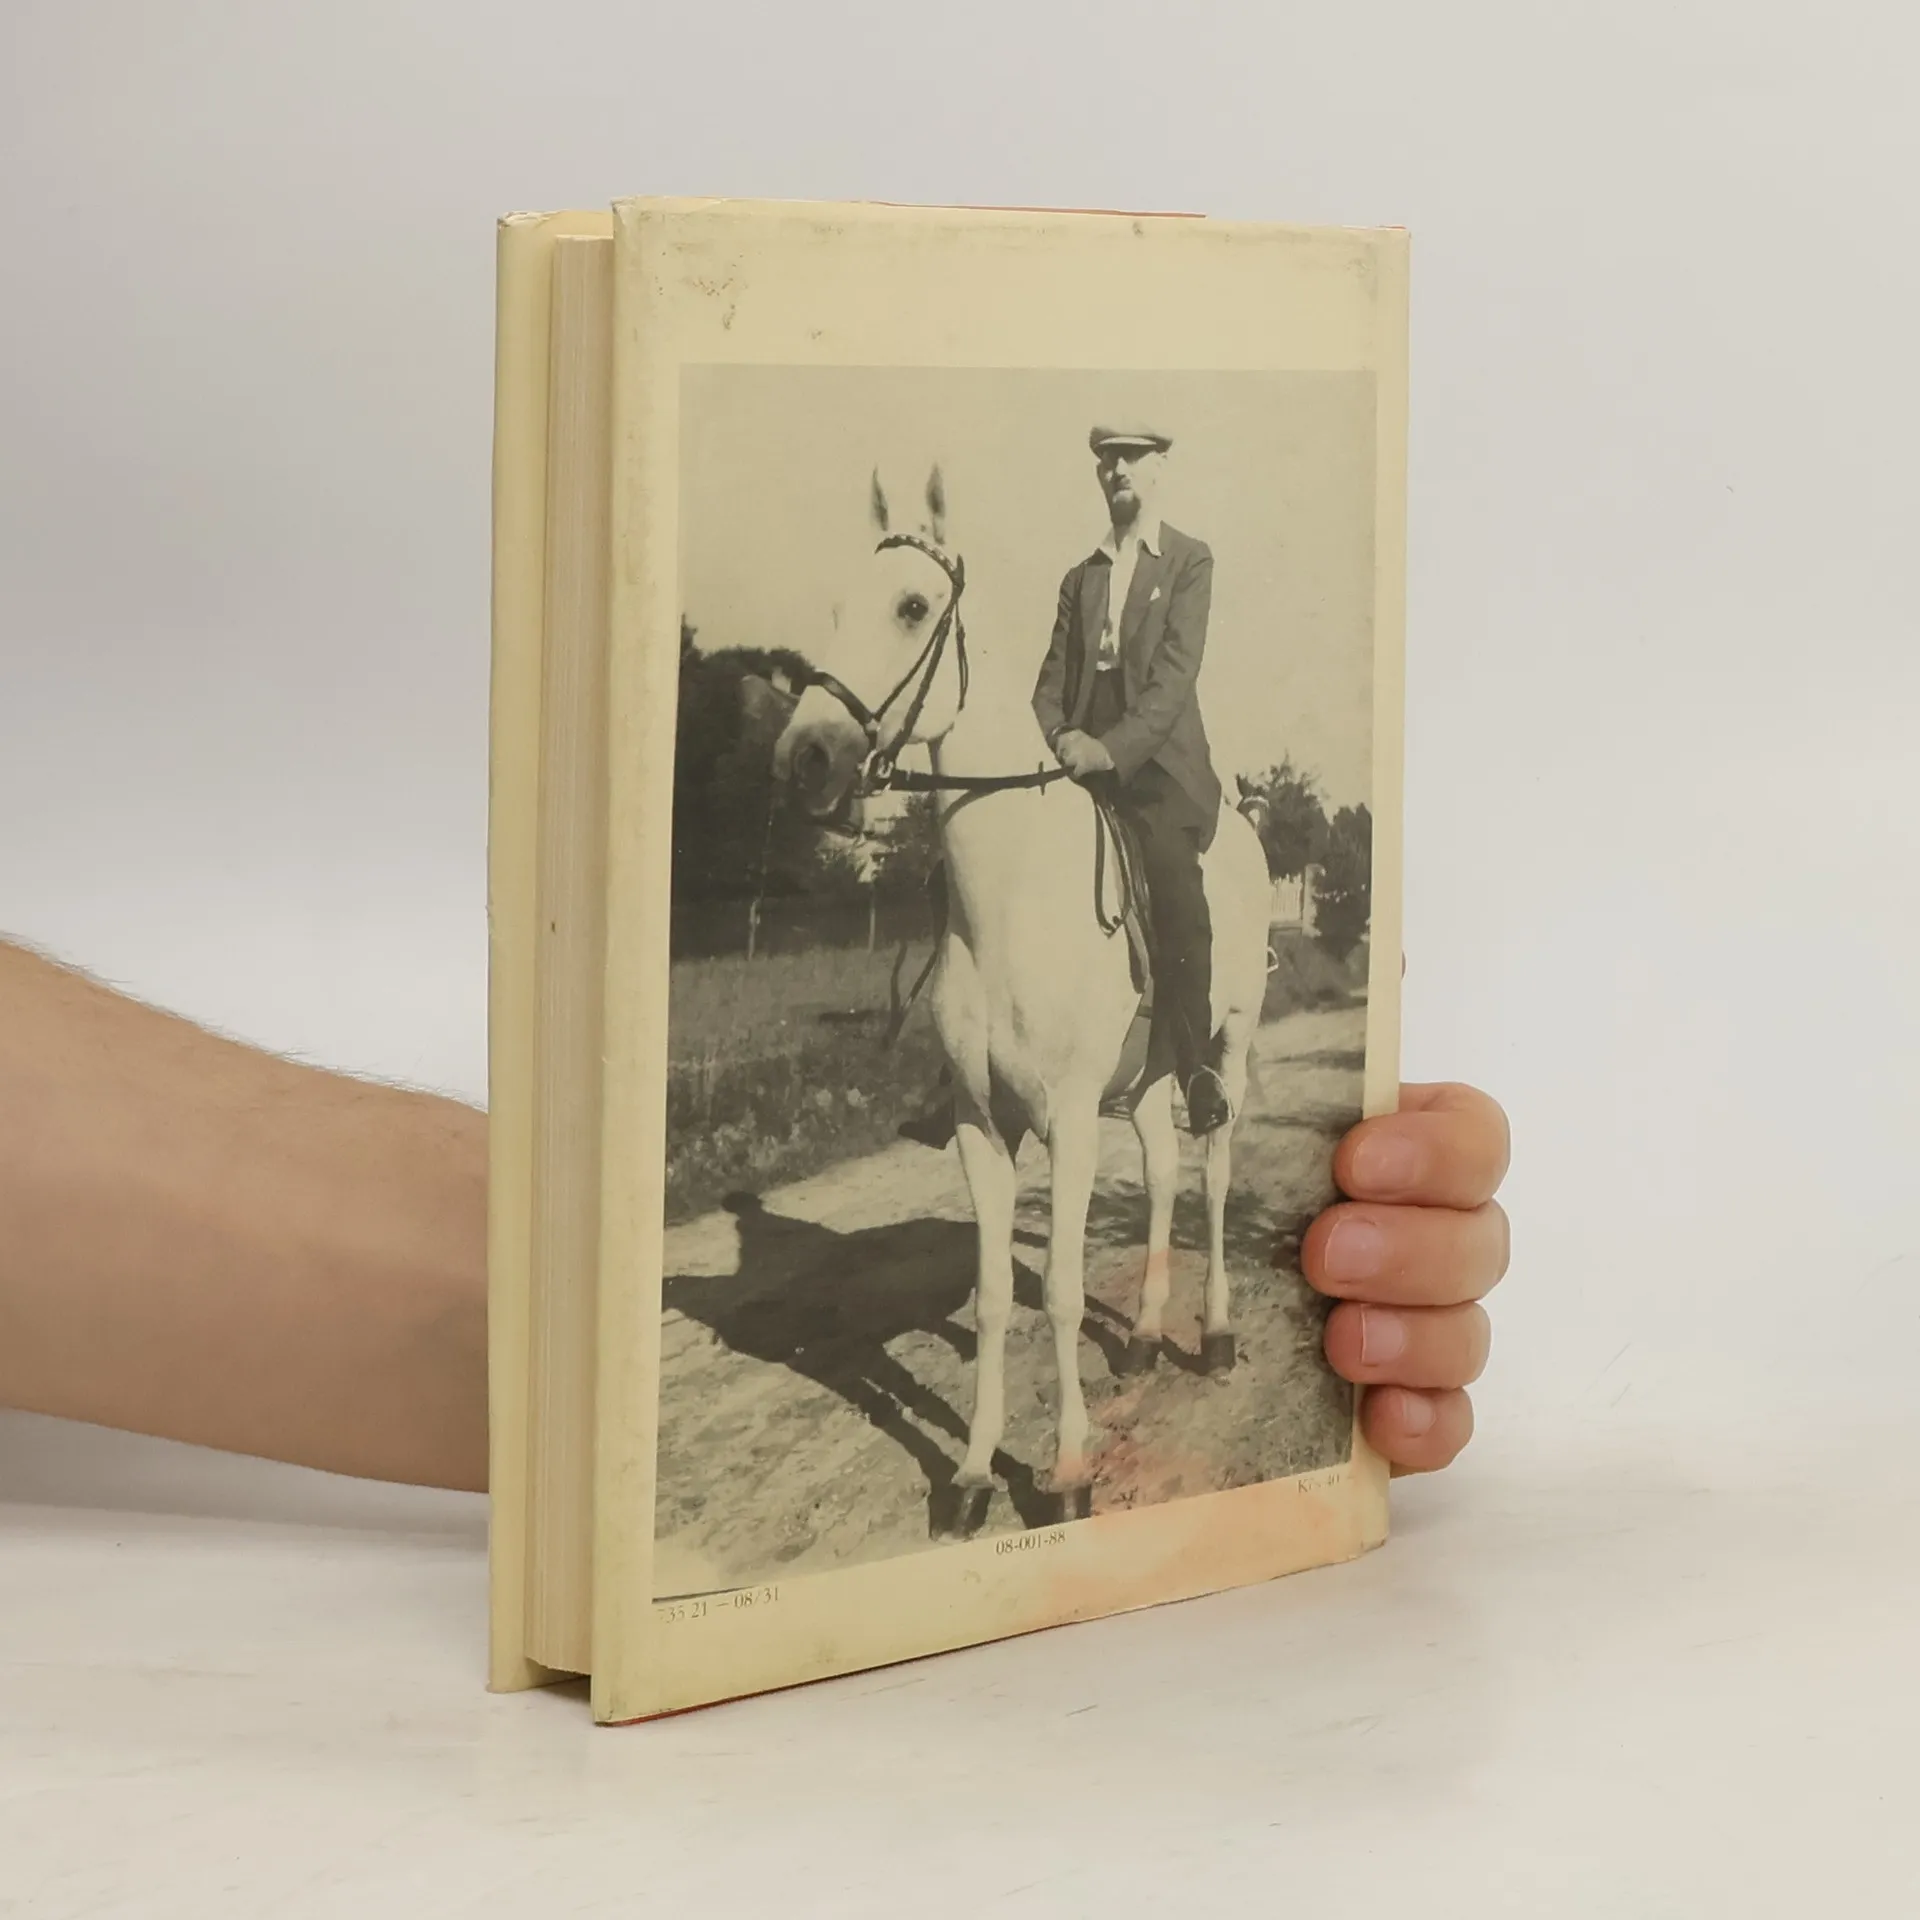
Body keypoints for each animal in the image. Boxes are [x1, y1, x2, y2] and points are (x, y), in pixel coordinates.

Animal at [771, 462, 1273, 1529]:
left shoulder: (1069, 1121)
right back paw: (1146, 1336)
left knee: (1212, 1177)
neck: (1006, 897)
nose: (805, 759)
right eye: (834, 608)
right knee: (1162, 1173)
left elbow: (1065, 1293)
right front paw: (969, 1475)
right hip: (1149, 1073)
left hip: (1231, 1044)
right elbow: (1001, 1294)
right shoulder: (980, 1121)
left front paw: (1068, 1473)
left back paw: (1210, 1336)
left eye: (913, 608)